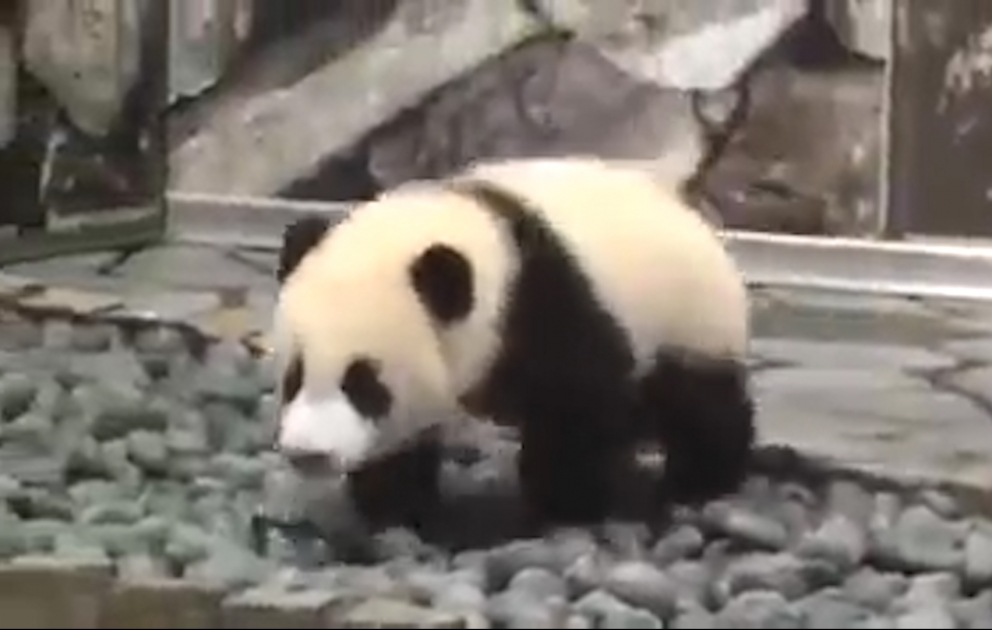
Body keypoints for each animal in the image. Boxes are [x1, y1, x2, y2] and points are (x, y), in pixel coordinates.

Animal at [271, 156, 756, 532]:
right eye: (294, 377)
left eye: (363, 384)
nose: (308, 454)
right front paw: (394, 505)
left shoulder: (551, 303)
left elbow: (575, 405)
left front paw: (562, 505)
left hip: (689, 320)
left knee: (700, 404)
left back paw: (697, 482)